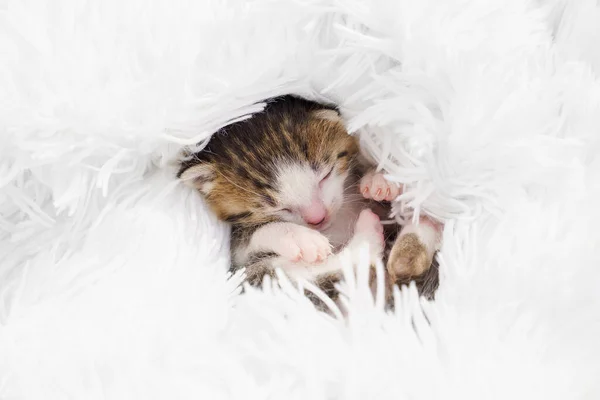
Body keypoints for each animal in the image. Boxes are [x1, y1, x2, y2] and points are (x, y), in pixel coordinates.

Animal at [178, 95, 440, 308]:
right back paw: (373, 233)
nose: (317, 218)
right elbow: (253, 235)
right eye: (276, 207)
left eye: (326, 175)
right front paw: (299, 238)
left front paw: (379, 178)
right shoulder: (238, 255)